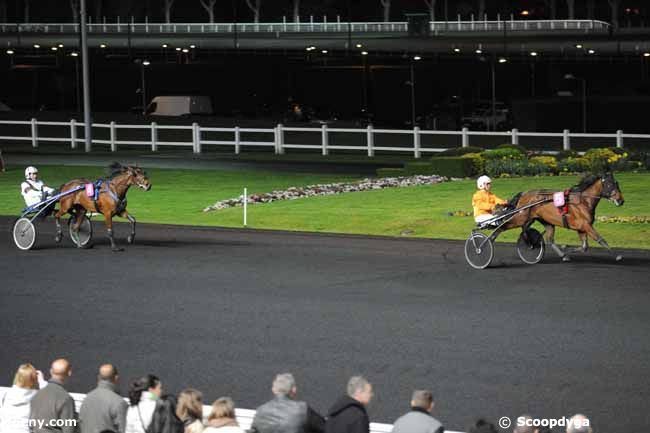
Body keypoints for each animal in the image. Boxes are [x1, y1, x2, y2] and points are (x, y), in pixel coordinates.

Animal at [496, 171, 624, 260]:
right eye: (610, 185)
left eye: (617, 184)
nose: (621, 201)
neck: (583, 201)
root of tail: (524, 194)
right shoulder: (586, 225)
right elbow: (601, 239)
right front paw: (617, 255)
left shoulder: (581, 228)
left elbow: (584, 247)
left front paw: (567, 251)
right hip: (520, 217)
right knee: (505, 227)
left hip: (545, 221)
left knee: (548, 239)